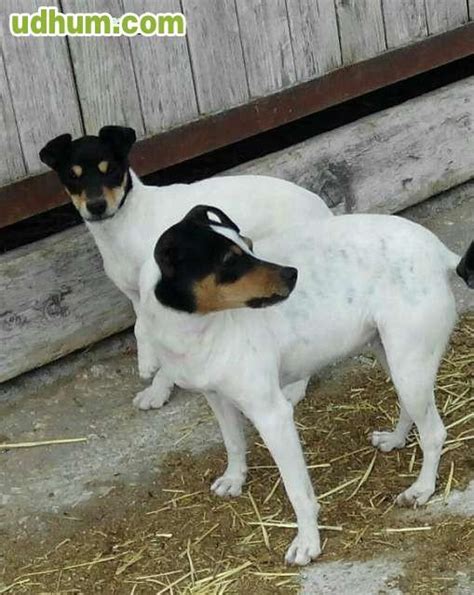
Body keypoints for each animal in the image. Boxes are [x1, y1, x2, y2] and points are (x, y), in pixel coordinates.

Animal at [134, 206, 474, 568]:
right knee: (411, 409)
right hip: (394, 358)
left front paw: (308, 541)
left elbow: (297, 490)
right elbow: (234, 443)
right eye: (229, 260)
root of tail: (437, 252)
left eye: (249, 245)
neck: (198, 328)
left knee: (434, 432)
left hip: (409, 364)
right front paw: (235, 478)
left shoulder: (273, 416)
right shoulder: (217, 399)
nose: (292, 274)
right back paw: (396, 439)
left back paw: (422, 488)